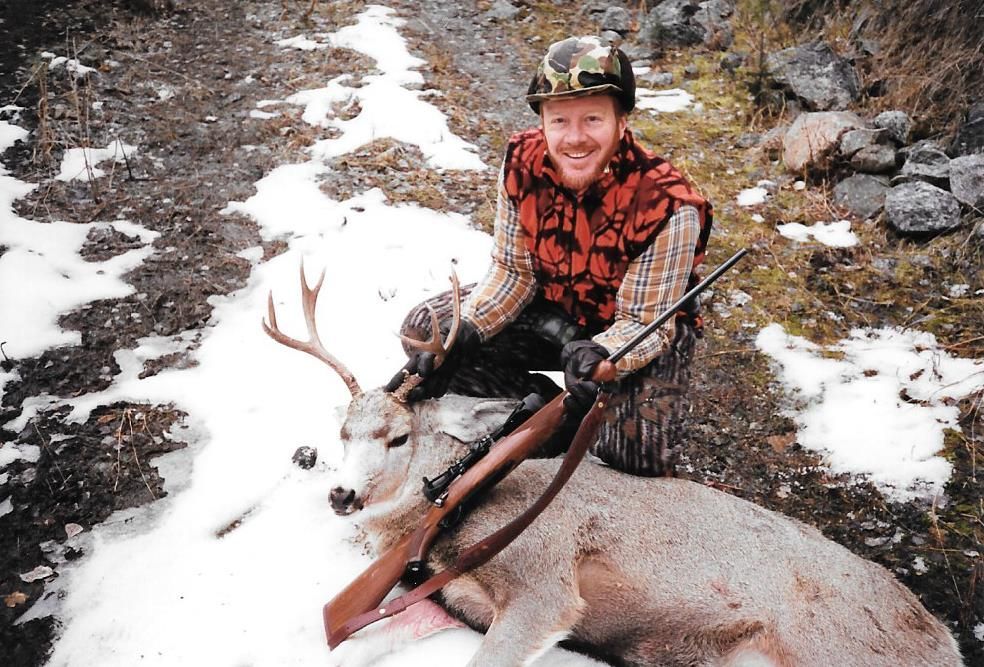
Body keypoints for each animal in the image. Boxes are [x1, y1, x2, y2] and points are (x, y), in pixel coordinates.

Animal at [263, 264, 964, 667]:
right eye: (343, 430)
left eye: (399, 437)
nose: (341, 494)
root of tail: (943, 638)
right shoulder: (438, 601)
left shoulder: (545, 584)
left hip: (833, 644)